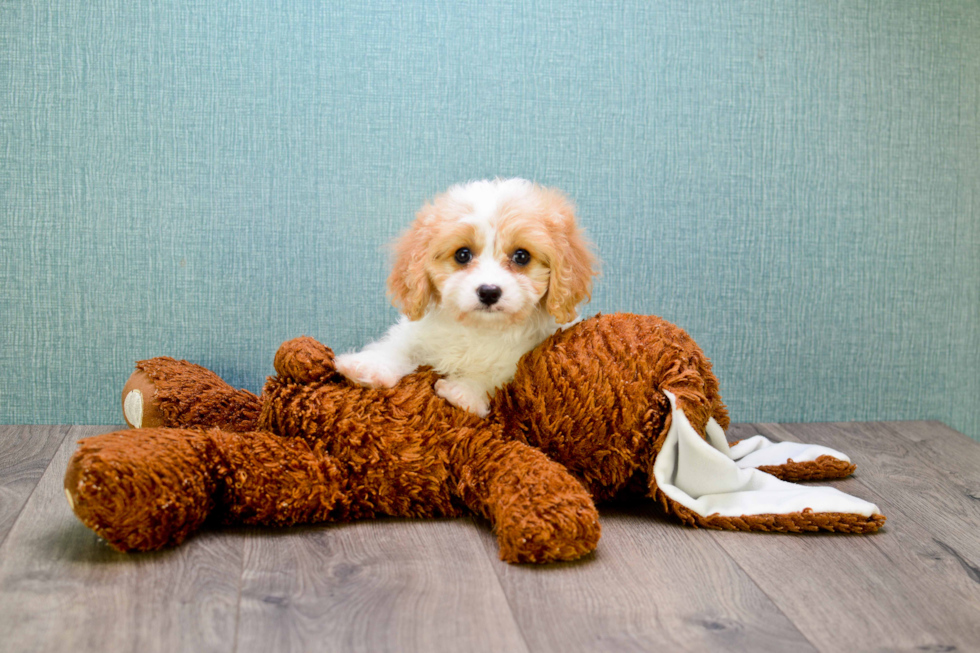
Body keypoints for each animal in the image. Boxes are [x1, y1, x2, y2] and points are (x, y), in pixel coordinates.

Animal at [336, 180, 596, 412]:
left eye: (522, 256)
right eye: (462, 254)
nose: (489, 291)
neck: (479, 328)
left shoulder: (520, 358)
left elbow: (495, 372)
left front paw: (463, 393)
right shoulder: (417, 333)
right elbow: (397, 345)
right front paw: (368, 367)